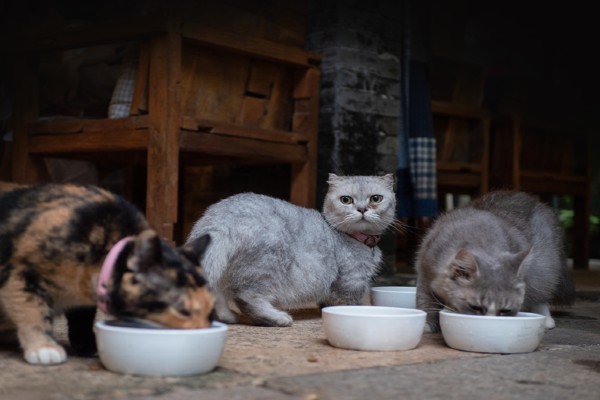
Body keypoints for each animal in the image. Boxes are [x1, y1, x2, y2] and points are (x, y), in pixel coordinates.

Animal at [0, 184, 214, 366]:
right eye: (183, 310)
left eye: (211, 309)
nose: (204, 331)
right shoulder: (20, 271)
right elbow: (32, 310)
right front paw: (43, 348)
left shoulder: (83, 301)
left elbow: (82, 320)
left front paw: (89, 347)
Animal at [185, 173, 396, 326]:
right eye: (346, 200)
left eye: (375, 198)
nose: (362, 209)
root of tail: (220, 218)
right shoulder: (351, 282)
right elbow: (349, 303)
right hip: (267, 266)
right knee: (246, 297)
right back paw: (277, 318)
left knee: (215, 293)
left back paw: (227, 317)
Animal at [414, 190, 576, 332]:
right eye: (475, 307)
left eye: (506, 310)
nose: (490, 322)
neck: (477, 237)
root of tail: (540, 204)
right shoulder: (424, 273)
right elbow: (425, 300)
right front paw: (427, 324)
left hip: (544, 269)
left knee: (542, 294)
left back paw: (546, 319)